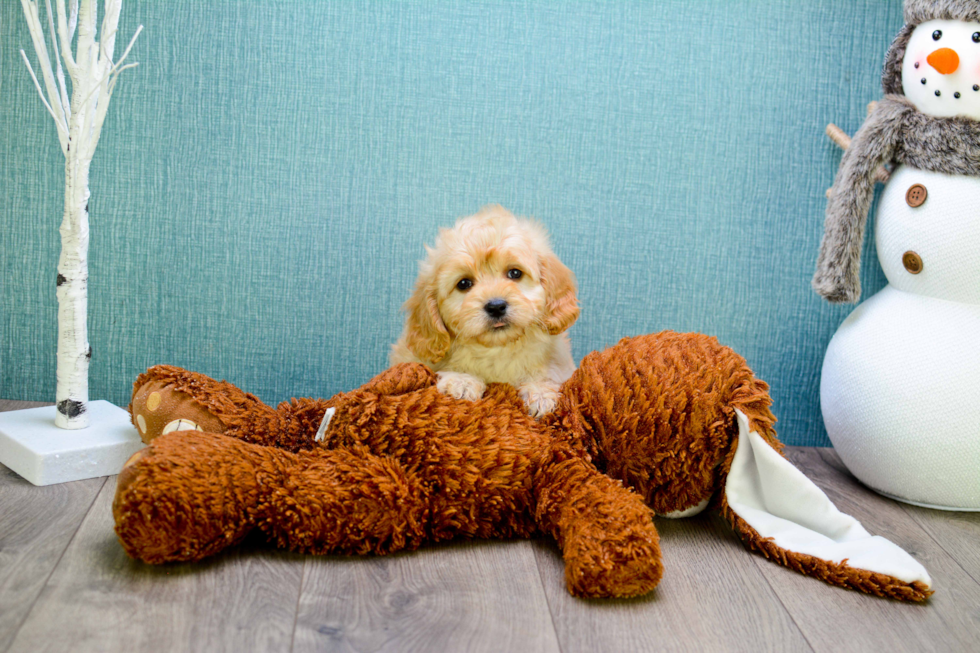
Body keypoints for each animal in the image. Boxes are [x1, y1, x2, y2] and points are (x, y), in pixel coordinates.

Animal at [388, 205, 580, 418]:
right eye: (464, 283)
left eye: (515, 273)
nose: (496, 306)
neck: (497, 350)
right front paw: (462, 381)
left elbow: (546, 374)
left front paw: (540, 393)